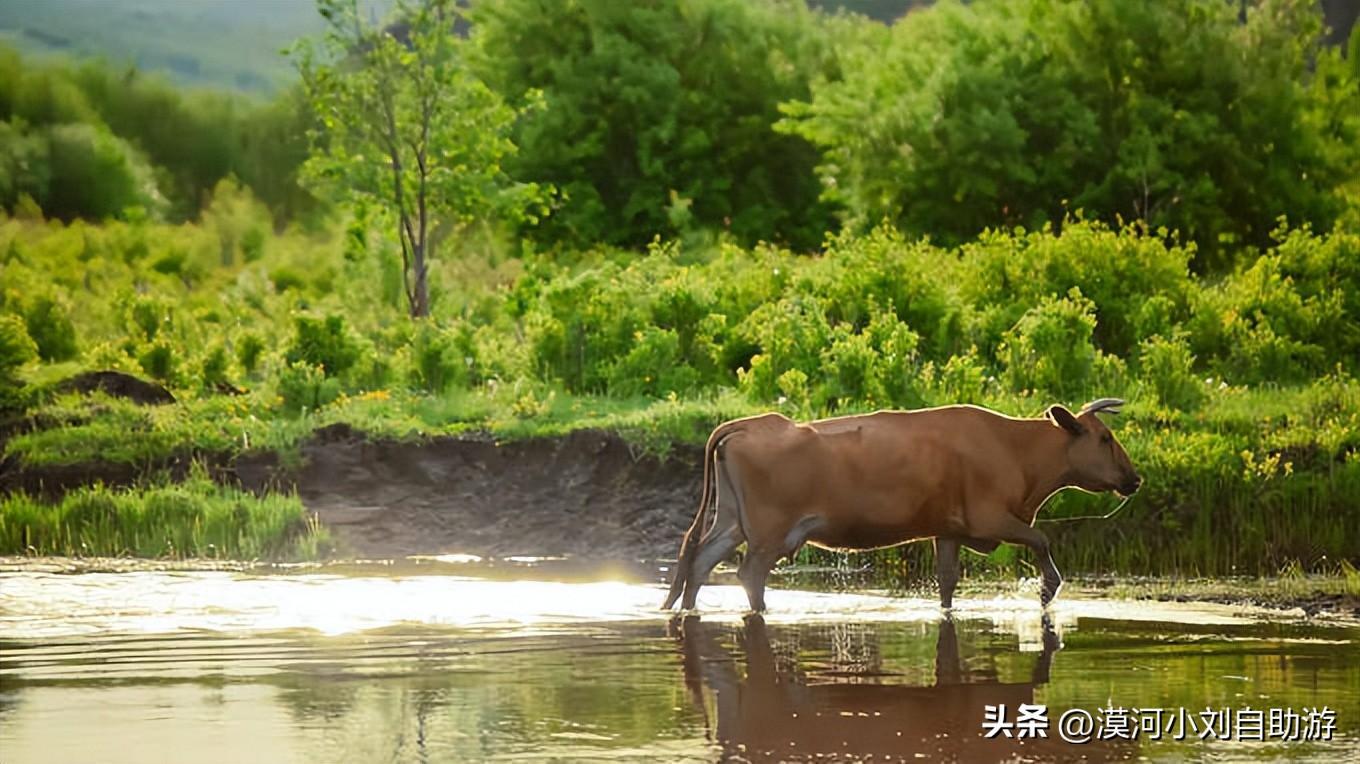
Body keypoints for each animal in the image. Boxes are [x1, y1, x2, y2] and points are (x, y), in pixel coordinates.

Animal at [658, 394, 1136, 609]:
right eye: (1105, 438)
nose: (1135, 478)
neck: (1015, 449)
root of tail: (749, 423)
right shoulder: (990, 519)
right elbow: (1041, 539)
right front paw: (1047, 588)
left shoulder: (948, 530)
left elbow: (947, 581)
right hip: (768, 531)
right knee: (749, 574)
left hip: (733, 521)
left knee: (699, 562)